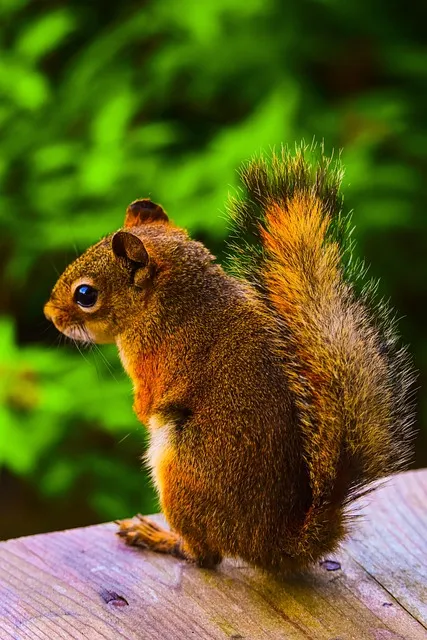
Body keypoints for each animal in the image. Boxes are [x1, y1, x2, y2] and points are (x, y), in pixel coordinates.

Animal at [44, 145, 415, 574]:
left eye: (85, 294)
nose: (48, 314)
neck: (169, 299)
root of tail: (271, 544)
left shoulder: (155, 359)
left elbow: (150, 396)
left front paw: (140, 411)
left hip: (180, 474)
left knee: (205, 555)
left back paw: (161, 538)